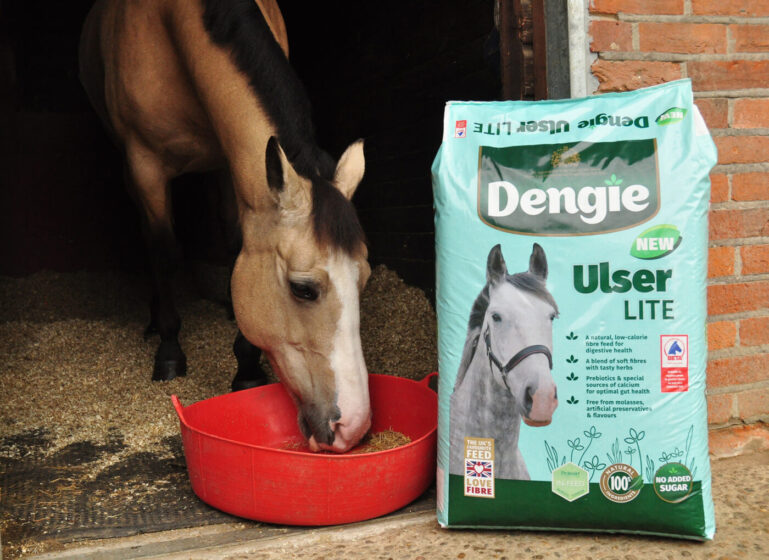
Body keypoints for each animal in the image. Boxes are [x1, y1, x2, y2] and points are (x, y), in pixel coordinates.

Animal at [79, 0, 374, 452]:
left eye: (365, 279)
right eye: (303, 289)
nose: (352, 427)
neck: (170, 24)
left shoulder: (235, 164)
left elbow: (238, 244)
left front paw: (247, 366)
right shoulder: (145, 166)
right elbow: (164, 251)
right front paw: (169, 353)